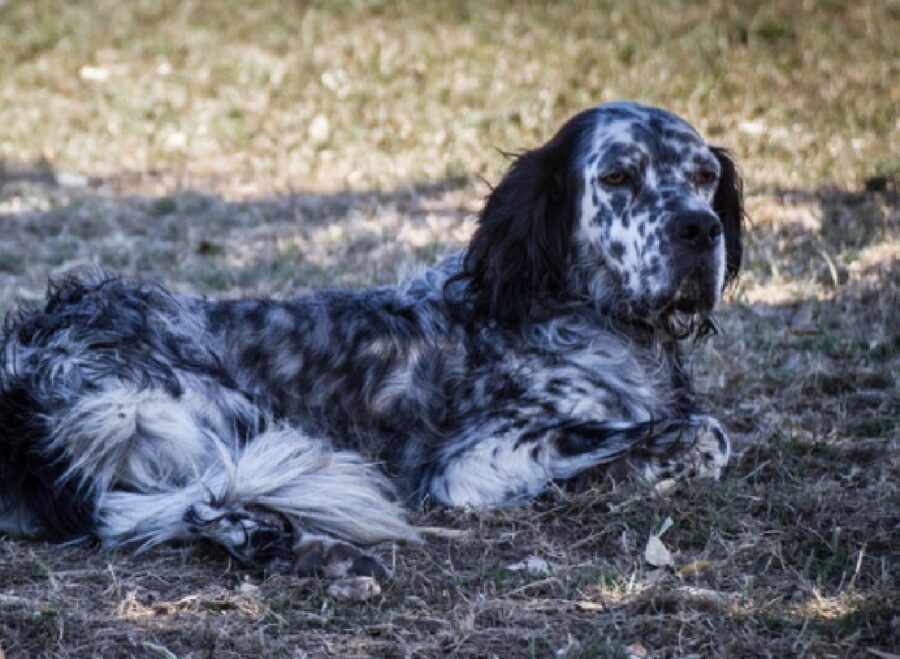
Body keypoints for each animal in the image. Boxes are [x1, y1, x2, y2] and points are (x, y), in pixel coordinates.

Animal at [0, 102, 744, 576]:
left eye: (705, 177)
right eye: (618, 177)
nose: (701, 228)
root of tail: (25, 369)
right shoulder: (477, 460)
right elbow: (702, 432)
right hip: (196, 410)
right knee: (213, 496)